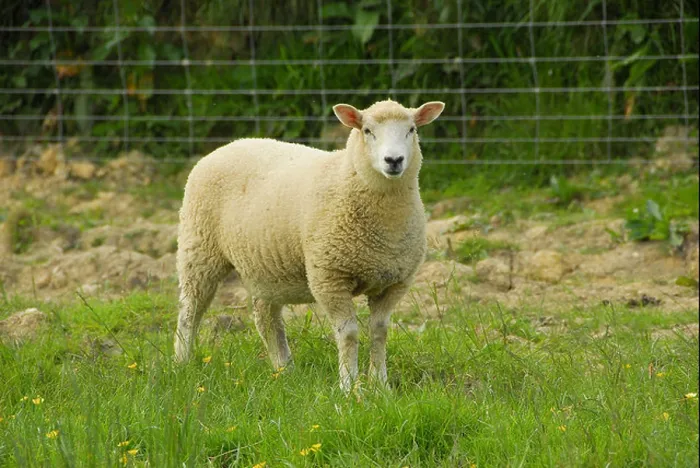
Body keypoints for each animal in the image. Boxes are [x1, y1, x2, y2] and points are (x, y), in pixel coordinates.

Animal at [174, 99, 445, 391]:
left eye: (411, 129)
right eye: (367, 131)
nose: (394, 161)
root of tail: (227, 146)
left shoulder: (396, 281)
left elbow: (379, 331)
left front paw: (380, 385)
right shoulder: (329, 277)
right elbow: (348, 334)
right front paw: (349, 386)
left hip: (265, 266)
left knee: (266, 318)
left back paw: (284, 369)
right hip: (199, 249)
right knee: (190, 311)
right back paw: (181, 363)